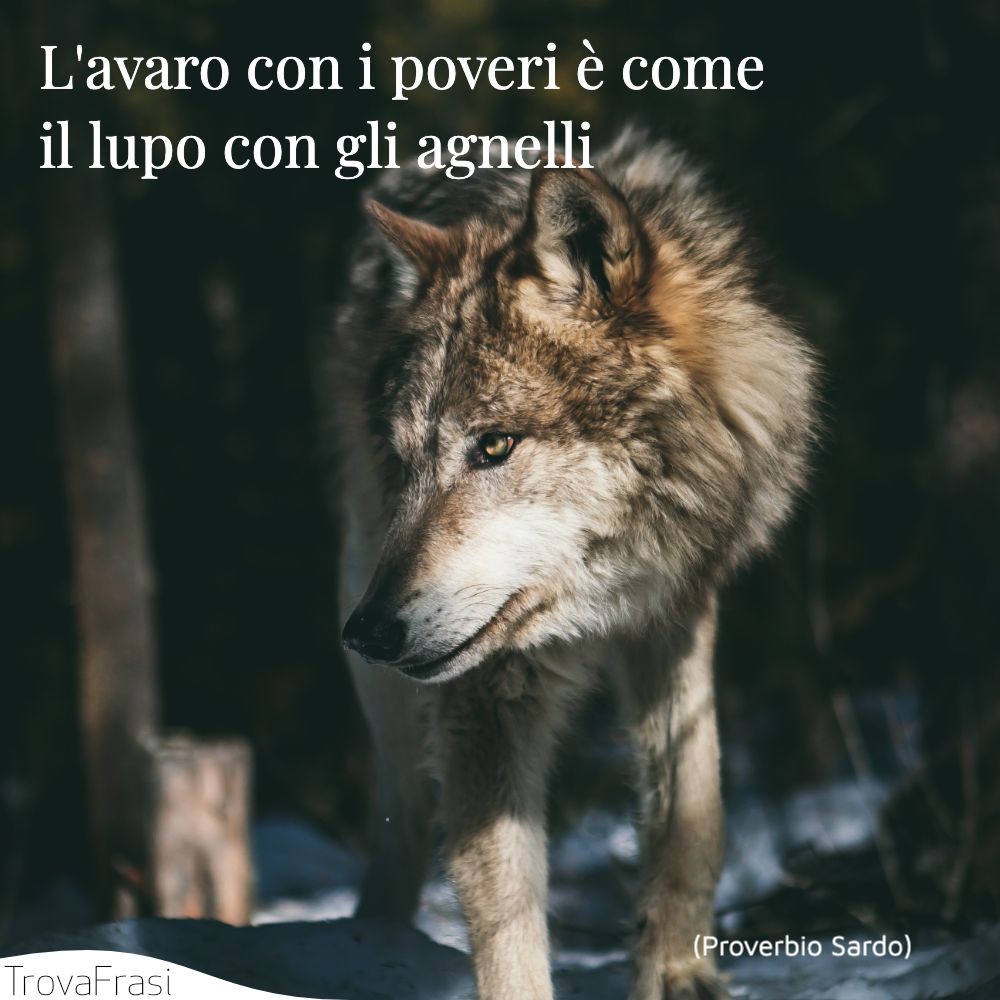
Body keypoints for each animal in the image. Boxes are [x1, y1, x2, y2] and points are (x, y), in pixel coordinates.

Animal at [332, 127, 817, 1000]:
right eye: (405, 461)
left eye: (494, 445)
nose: (370, 632)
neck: (597, 595)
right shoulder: (487, 685)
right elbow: (502, 900)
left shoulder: (675, 613)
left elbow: (693, 810)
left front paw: (676, 972)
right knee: (404, 818)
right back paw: (367, 943)